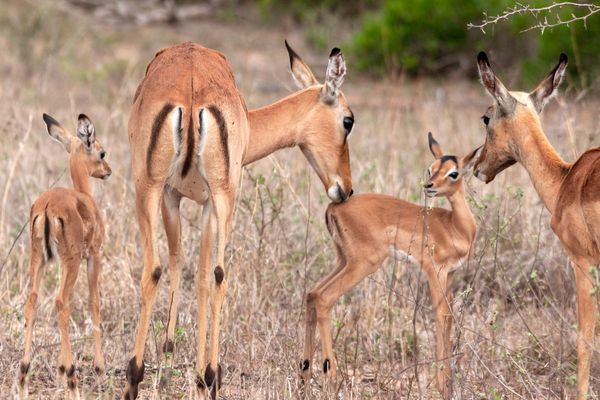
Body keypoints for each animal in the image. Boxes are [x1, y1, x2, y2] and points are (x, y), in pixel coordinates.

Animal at [18, 114, 111, 398]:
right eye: (101, 151)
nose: (108, 170)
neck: (85, 198)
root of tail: (47, 206)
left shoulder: (60, 261)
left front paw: (59, 372)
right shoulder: (93, 256)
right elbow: (94, 302)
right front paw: (99, 370)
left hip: (38, 258)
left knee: (34, 301)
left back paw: (24, 374)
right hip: (72, 261)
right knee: (61, 302)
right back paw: (73, 379)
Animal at [125, 39, 354, 398]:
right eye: (348, 121)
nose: (345, 188)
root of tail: (191, 86)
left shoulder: (180, 198)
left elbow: (190, 270)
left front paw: (172, 365)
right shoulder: (189, 199)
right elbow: (195, 272)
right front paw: (185, 369)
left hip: (158, 189)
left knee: (167, 270)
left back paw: (151, 376)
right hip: (212, 194)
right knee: (214, 273)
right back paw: (205, 375)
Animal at [302, 133, 480, 398]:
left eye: (453, 172)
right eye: (431, 168)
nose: (429, 186)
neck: (454, 226)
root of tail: (334, 207)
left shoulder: (450, 275)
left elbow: (449, 317)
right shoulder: (434, 271)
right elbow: (441, 315)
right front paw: (442, 384)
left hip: (342, 259)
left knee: (312, 293)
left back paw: (304, 375)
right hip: (365, 263)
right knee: (324, 297)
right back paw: (331, 377)